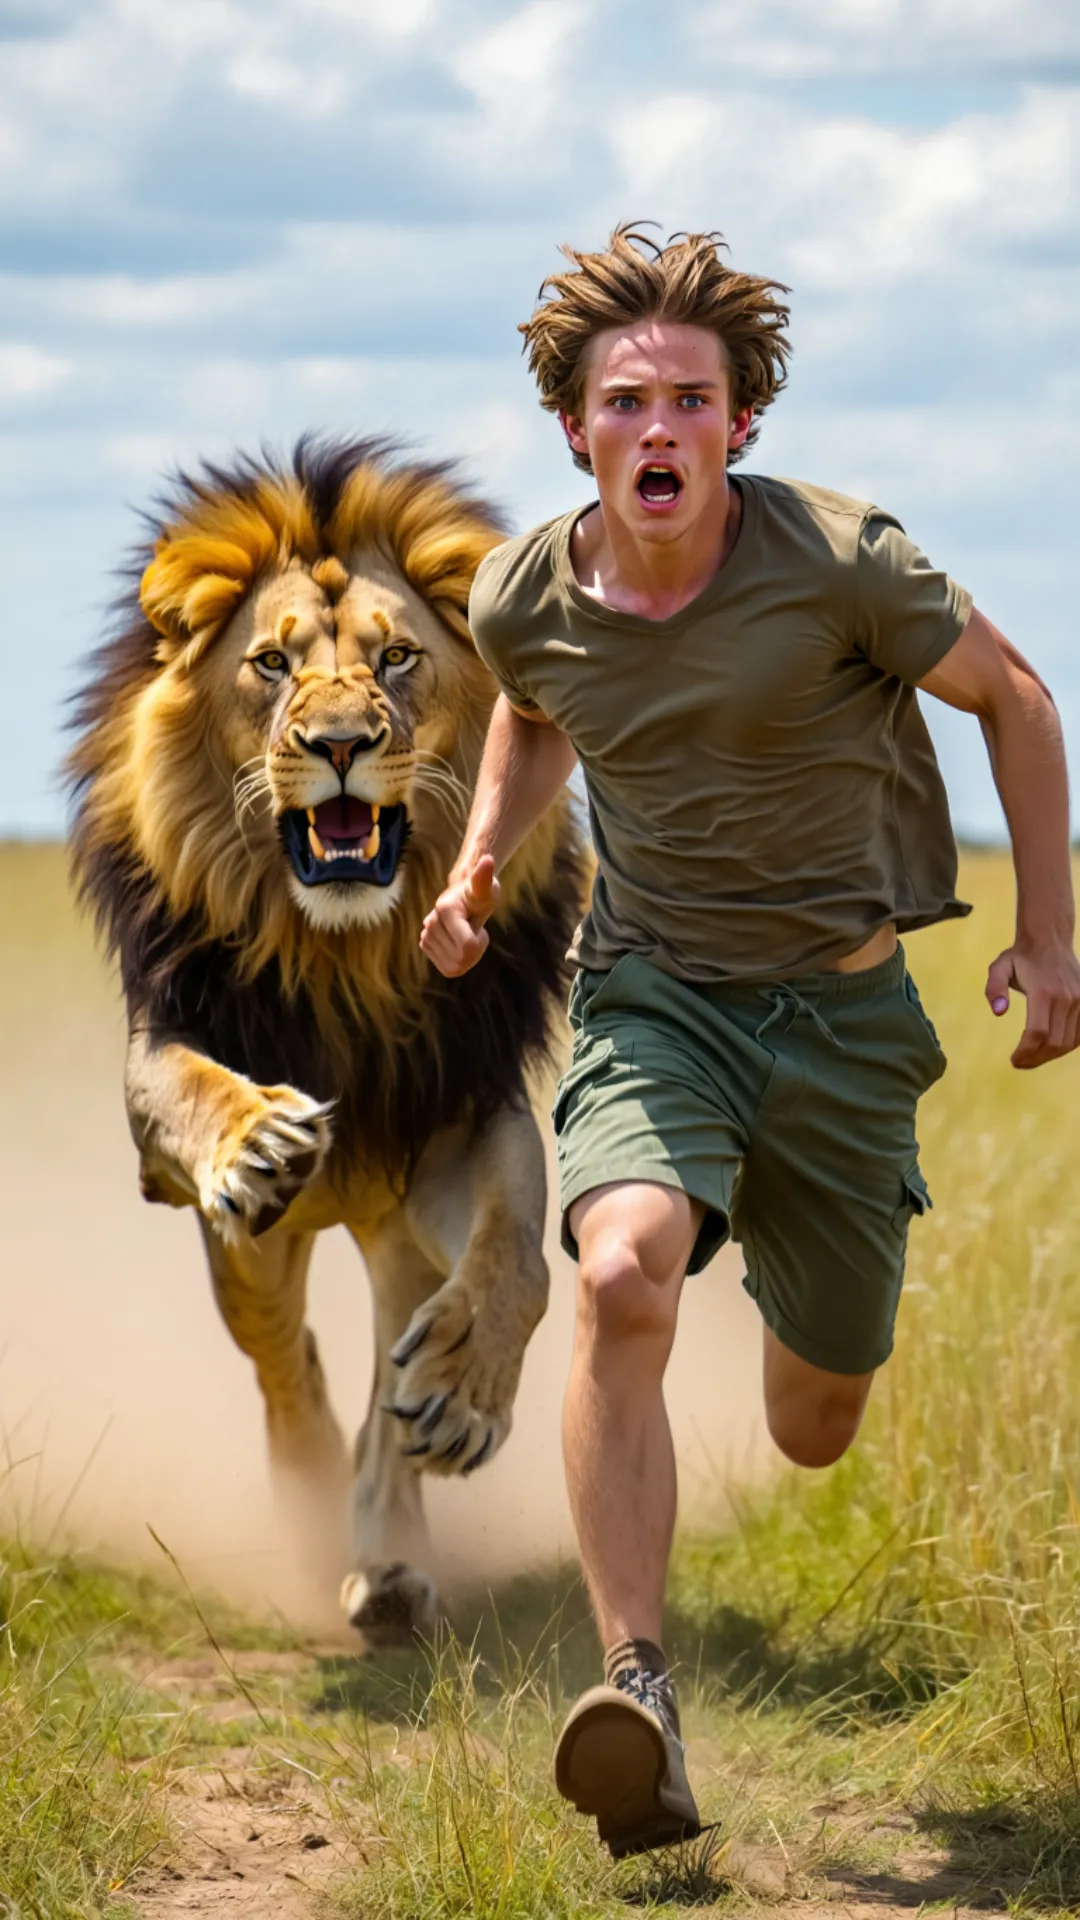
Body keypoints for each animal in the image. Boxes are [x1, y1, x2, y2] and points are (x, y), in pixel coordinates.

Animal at [66, 436, 584, 1644]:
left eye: (397, 659)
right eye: (270, 664)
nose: (341, 745)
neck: (348, 957)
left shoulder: (463, 1110)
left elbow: (518, 1252)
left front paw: (467, 1392)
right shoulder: (168, 1051)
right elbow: (191, 1091)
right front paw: (256, 1139)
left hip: (393, 1229)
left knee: (388, 1386)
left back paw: (389, 1565)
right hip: (249, 1258)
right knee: (285, 1361)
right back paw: (310, 1507)